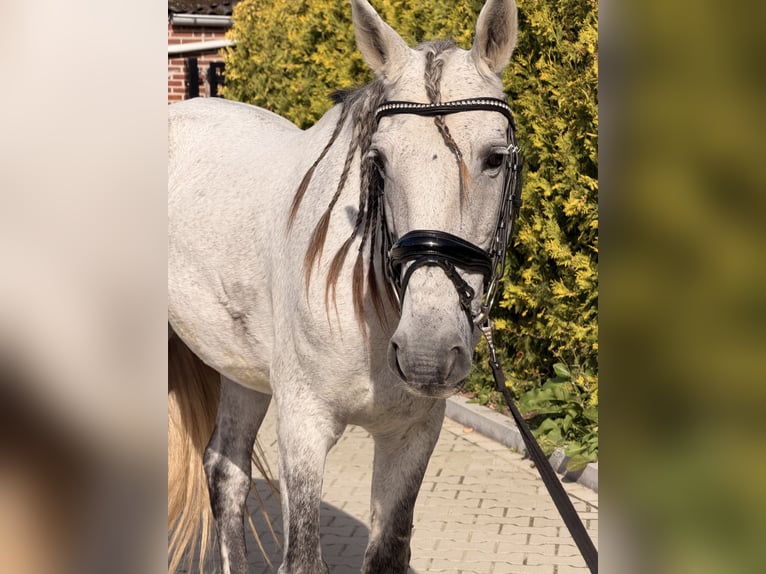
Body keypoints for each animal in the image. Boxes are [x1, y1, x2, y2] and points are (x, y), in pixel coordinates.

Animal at [168, 0, 522, 572]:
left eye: (494, 157)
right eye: (377, 161)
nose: (425, 355)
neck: (370, 311)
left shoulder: (412, 435)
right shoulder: (303, 427)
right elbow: (304, 557)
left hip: (243, 370)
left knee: (226, 469)